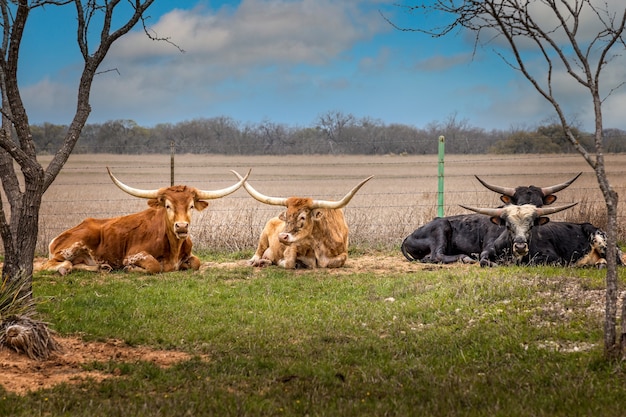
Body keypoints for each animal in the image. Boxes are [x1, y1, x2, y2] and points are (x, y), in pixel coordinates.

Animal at [37, 167, 249, 274]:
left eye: (190, 206)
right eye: (168, 206)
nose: (181, 226)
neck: (173, 247)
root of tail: (58, 237)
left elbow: (196, 262)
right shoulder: (133, 254)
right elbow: (154, 266)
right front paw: (131, 268)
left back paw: (101, 267)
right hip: (70, 247)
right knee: (52, 264)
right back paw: (65, 269)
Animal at [233, 171, 370, 268]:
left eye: (302, 217)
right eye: (287, 215)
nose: (282, 236)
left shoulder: (343, 252)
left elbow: (336, 261)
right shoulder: (291, 246)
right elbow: (289, 262)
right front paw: (284, 262)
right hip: (263, 236)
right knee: (258, 252)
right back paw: (256, 261)